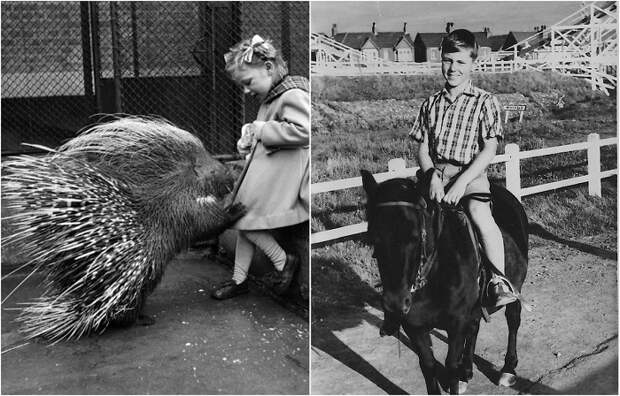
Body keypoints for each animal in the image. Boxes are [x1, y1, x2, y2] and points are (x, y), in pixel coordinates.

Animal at [360, 171, 532, 396]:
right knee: (474, 326)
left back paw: (508, 369)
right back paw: (467, 371)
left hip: (515, 287)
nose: (395, 303)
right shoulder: (414, 326)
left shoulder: (457, 323)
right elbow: (428, 365)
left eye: (415, 237)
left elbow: (450, 365)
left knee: (513, 321)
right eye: (374, 238)